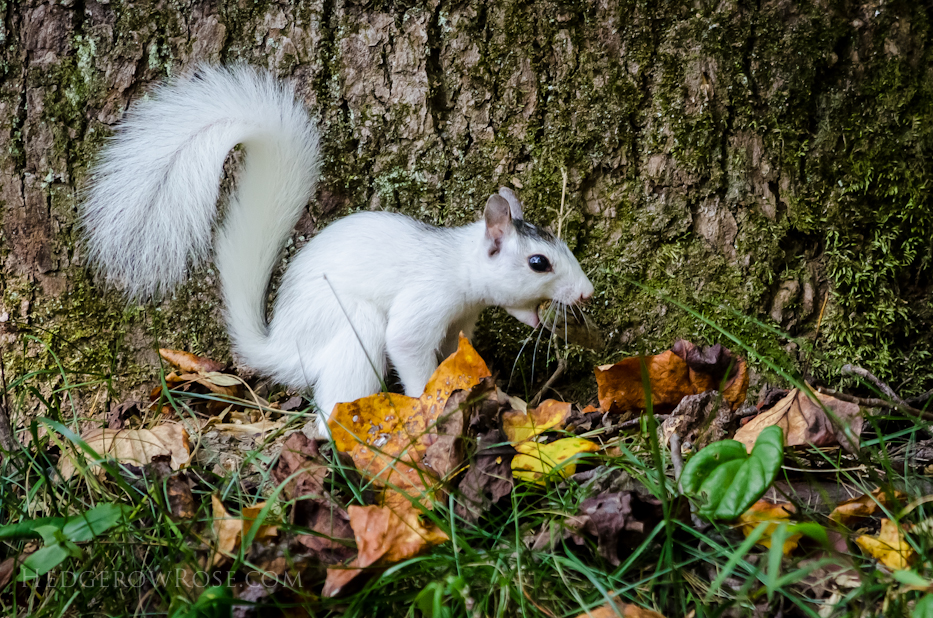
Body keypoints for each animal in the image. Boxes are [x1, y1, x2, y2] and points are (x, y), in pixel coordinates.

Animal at [78, 65, 588, 436]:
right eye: (538, 262)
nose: (586, 292)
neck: (458, 265)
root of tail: (282, 349)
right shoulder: (426, 300)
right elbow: (409, 347)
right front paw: (427, 400)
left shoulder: (459, 320)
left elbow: (452, 352)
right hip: (352, 329)